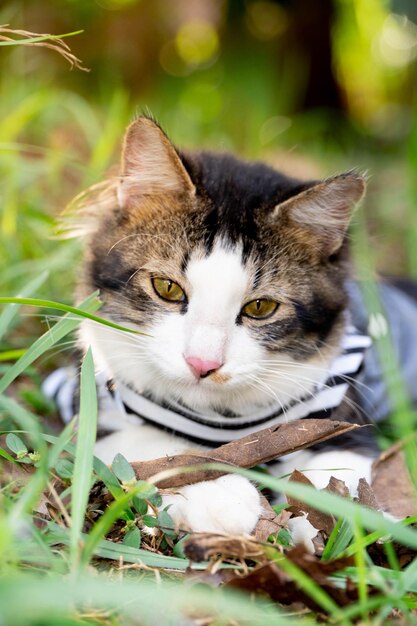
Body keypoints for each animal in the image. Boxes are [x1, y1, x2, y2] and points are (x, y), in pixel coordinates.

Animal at [47, 116, 416, 536]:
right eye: (167, 288)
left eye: (260, 307)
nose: (202, 364)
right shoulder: (87, 401)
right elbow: (160, 445)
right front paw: (223, 496)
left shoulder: (345, 420)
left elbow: (337, 485)